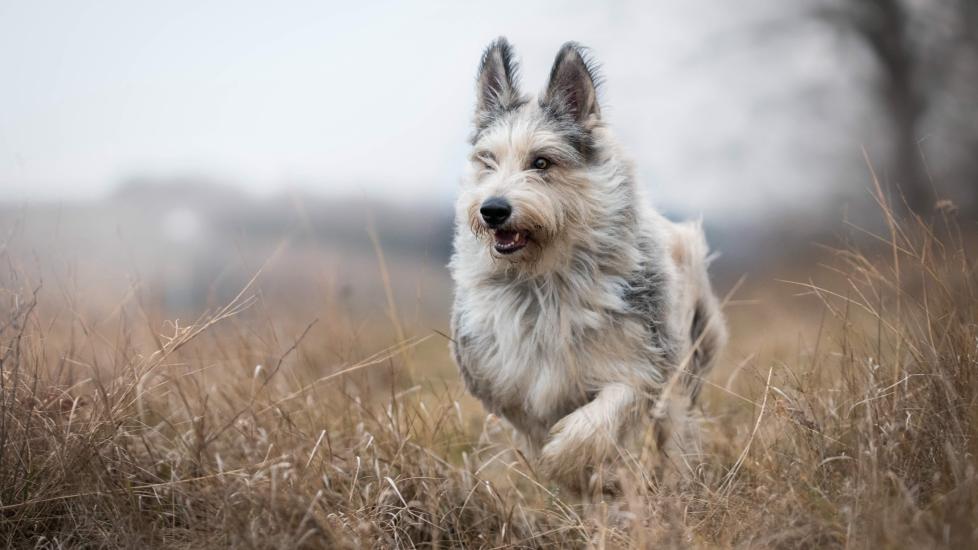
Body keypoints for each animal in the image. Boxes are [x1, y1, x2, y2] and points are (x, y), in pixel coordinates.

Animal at [450, 37, 724, 496]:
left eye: (541, 162)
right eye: (487, 161)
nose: (492, 210)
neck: (545, 282)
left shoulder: (641, 364)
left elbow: (600, 417)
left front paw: (569, 460)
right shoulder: (512, 384)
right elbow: (535, 430)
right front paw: (569, 481)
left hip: (688, 357)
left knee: (675, 429)